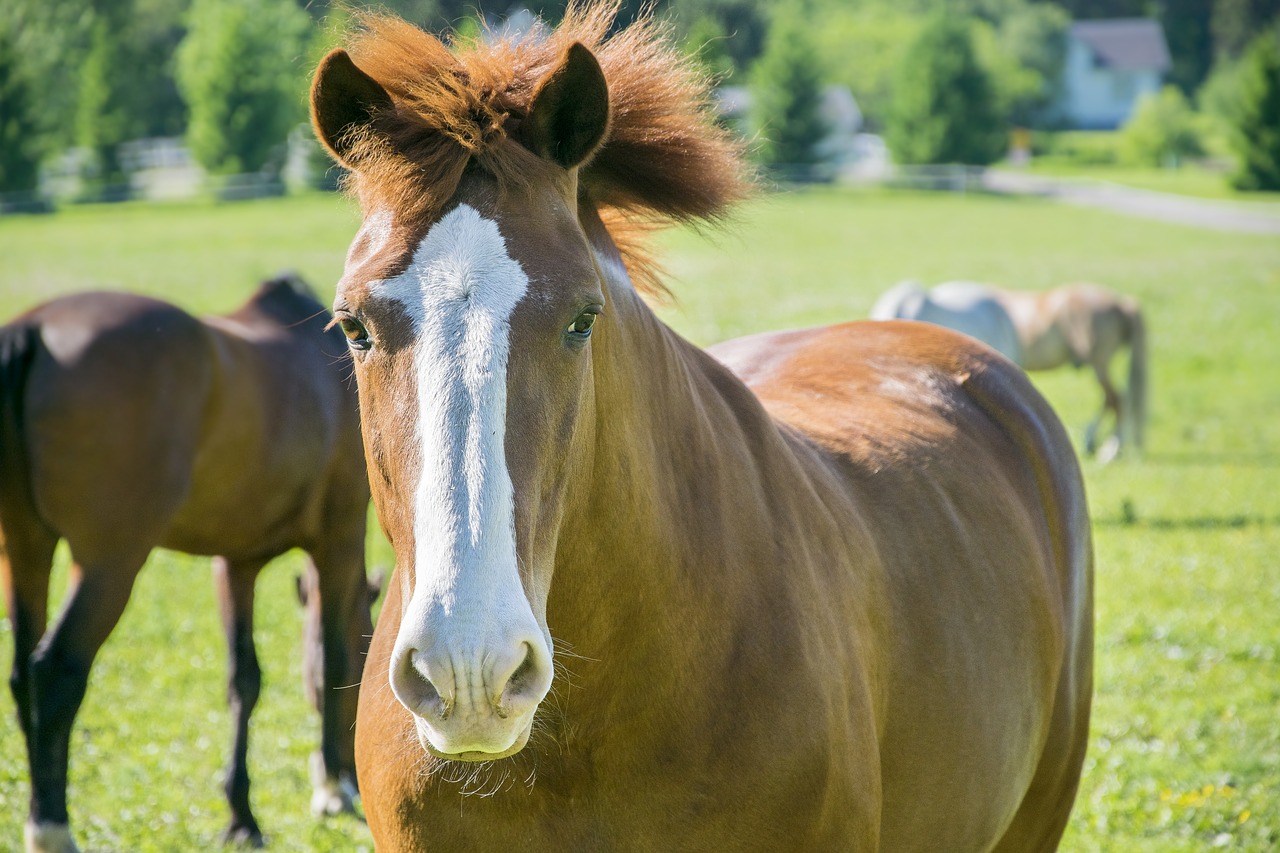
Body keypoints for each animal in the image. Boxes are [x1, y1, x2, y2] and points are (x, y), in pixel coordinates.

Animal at [0, 274, 373, 850]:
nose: (358, 768)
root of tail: (33, 330)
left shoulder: (236, 563)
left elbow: (245, 679)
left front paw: (242, 814)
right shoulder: (341, 538)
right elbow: (333, 657)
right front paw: (334, 789)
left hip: (24, 546)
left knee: (22, 676)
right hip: (111, 562)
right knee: (55, 671)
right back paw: (51, 827)